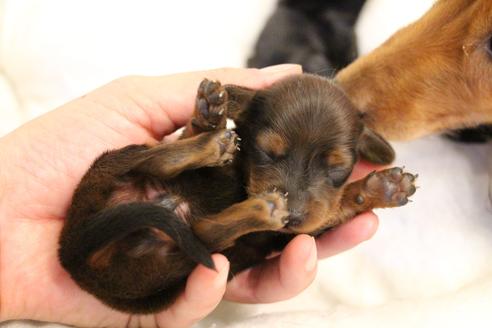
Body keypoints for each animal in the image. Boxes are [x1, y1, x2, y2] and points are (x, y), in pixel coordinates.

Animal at [58, 73, 418, 314]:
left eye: (337, 168)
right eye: (268, 152)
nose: (292, 215)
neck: (241, 180)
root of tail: (73, 256)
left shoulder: (302, 229)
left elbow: (337, 206)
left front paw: (383, 188)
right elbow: (187, 132)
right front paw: (209, 111)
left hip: (172, 268)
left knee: (204, 229)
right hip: (114, 164)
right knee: (158, 165)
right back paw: (220, 153)